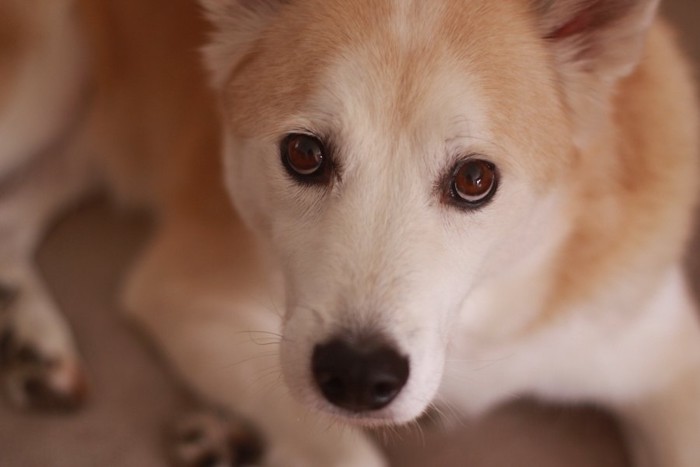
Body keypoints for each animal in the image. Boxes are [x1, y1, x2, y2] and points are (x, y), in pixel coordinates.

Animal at [1, 0, 700, 466]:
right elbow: (337, 443)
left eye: (475, 179)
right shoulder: (184, 293)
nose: (359, 377)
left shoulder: (664, 362)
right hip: (46, 72)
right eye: (303, 154)